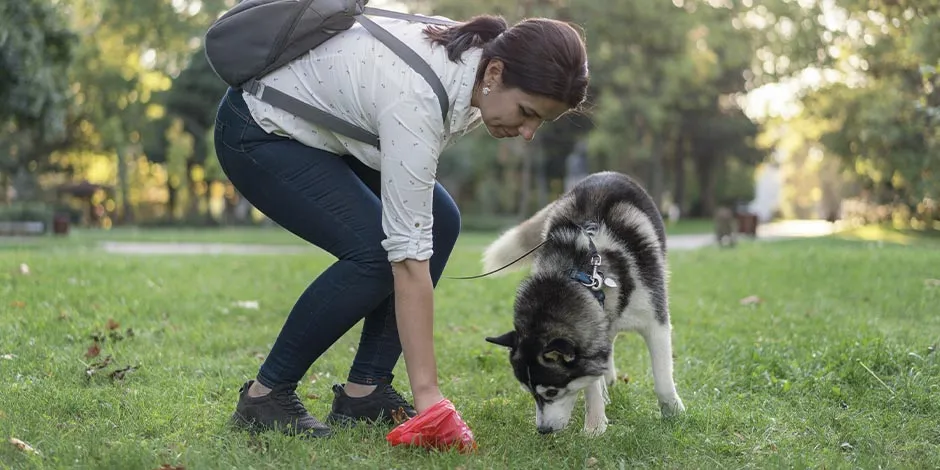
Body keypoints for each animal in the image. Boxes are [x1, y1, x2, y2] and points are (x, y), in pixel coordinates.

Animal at [482, 172, 688, 436]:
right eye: (529, 393)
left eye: (552, 392)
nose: (543, 430)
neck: (583, 274)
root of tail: (604, 173)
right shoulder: (593, 335)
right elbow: (591, 381)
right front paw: (595, 425)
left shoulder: (655, 321)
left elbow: (662, 376)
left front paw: (673, 412)